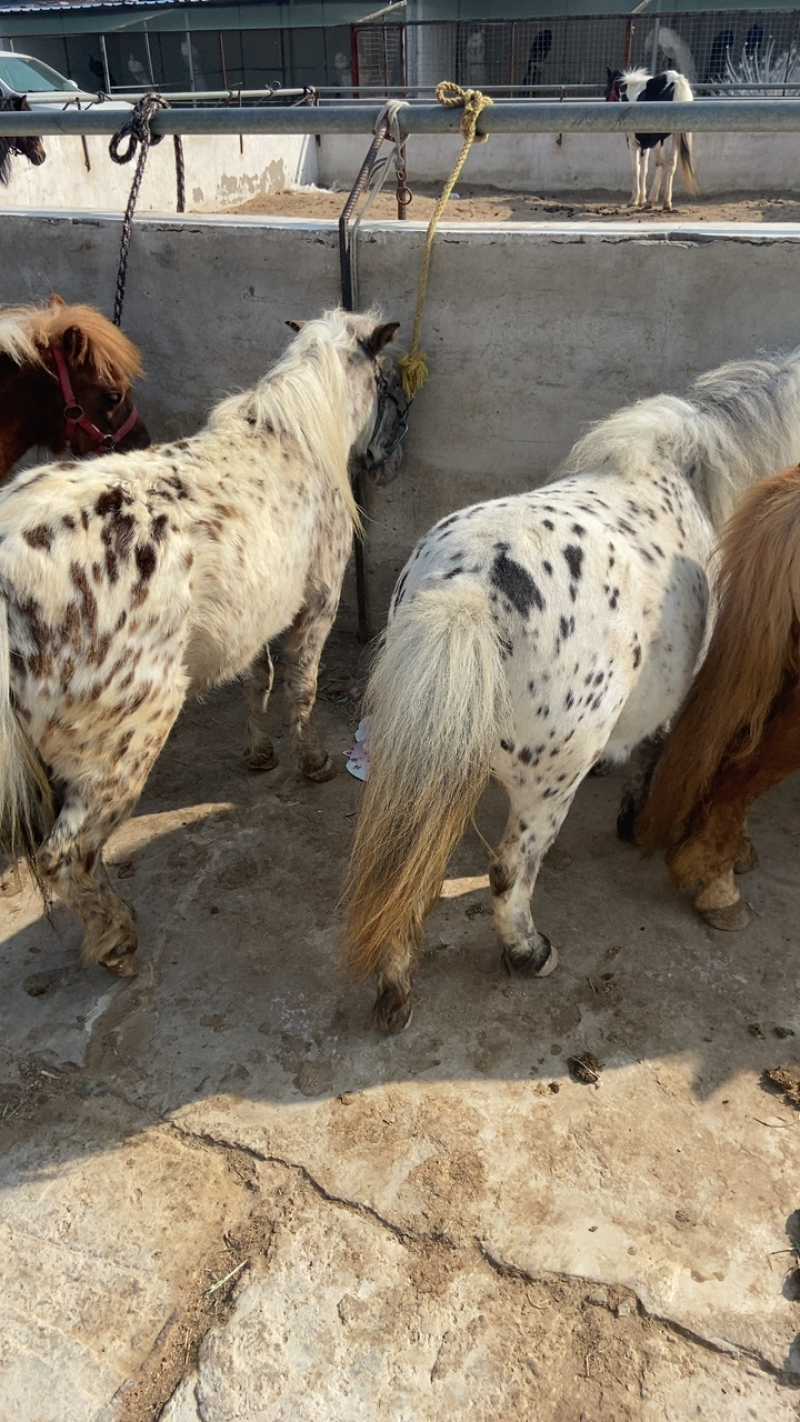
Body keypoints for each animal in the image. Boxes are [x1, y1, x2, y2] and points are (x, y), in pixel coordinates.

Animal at [605, 67, 699, 211]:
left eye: (607, 90)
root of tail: (675, 81)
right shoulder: (645, 144)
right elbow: (644, 169)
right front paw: (641, 199)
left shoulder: (634, 142)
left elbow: (636, 169)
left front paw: (635, 200)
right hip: (675, 137)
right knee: (671, 163)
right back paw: (666, 202)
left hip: (659, 140)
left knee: (662, 163)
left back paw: (652, 200)